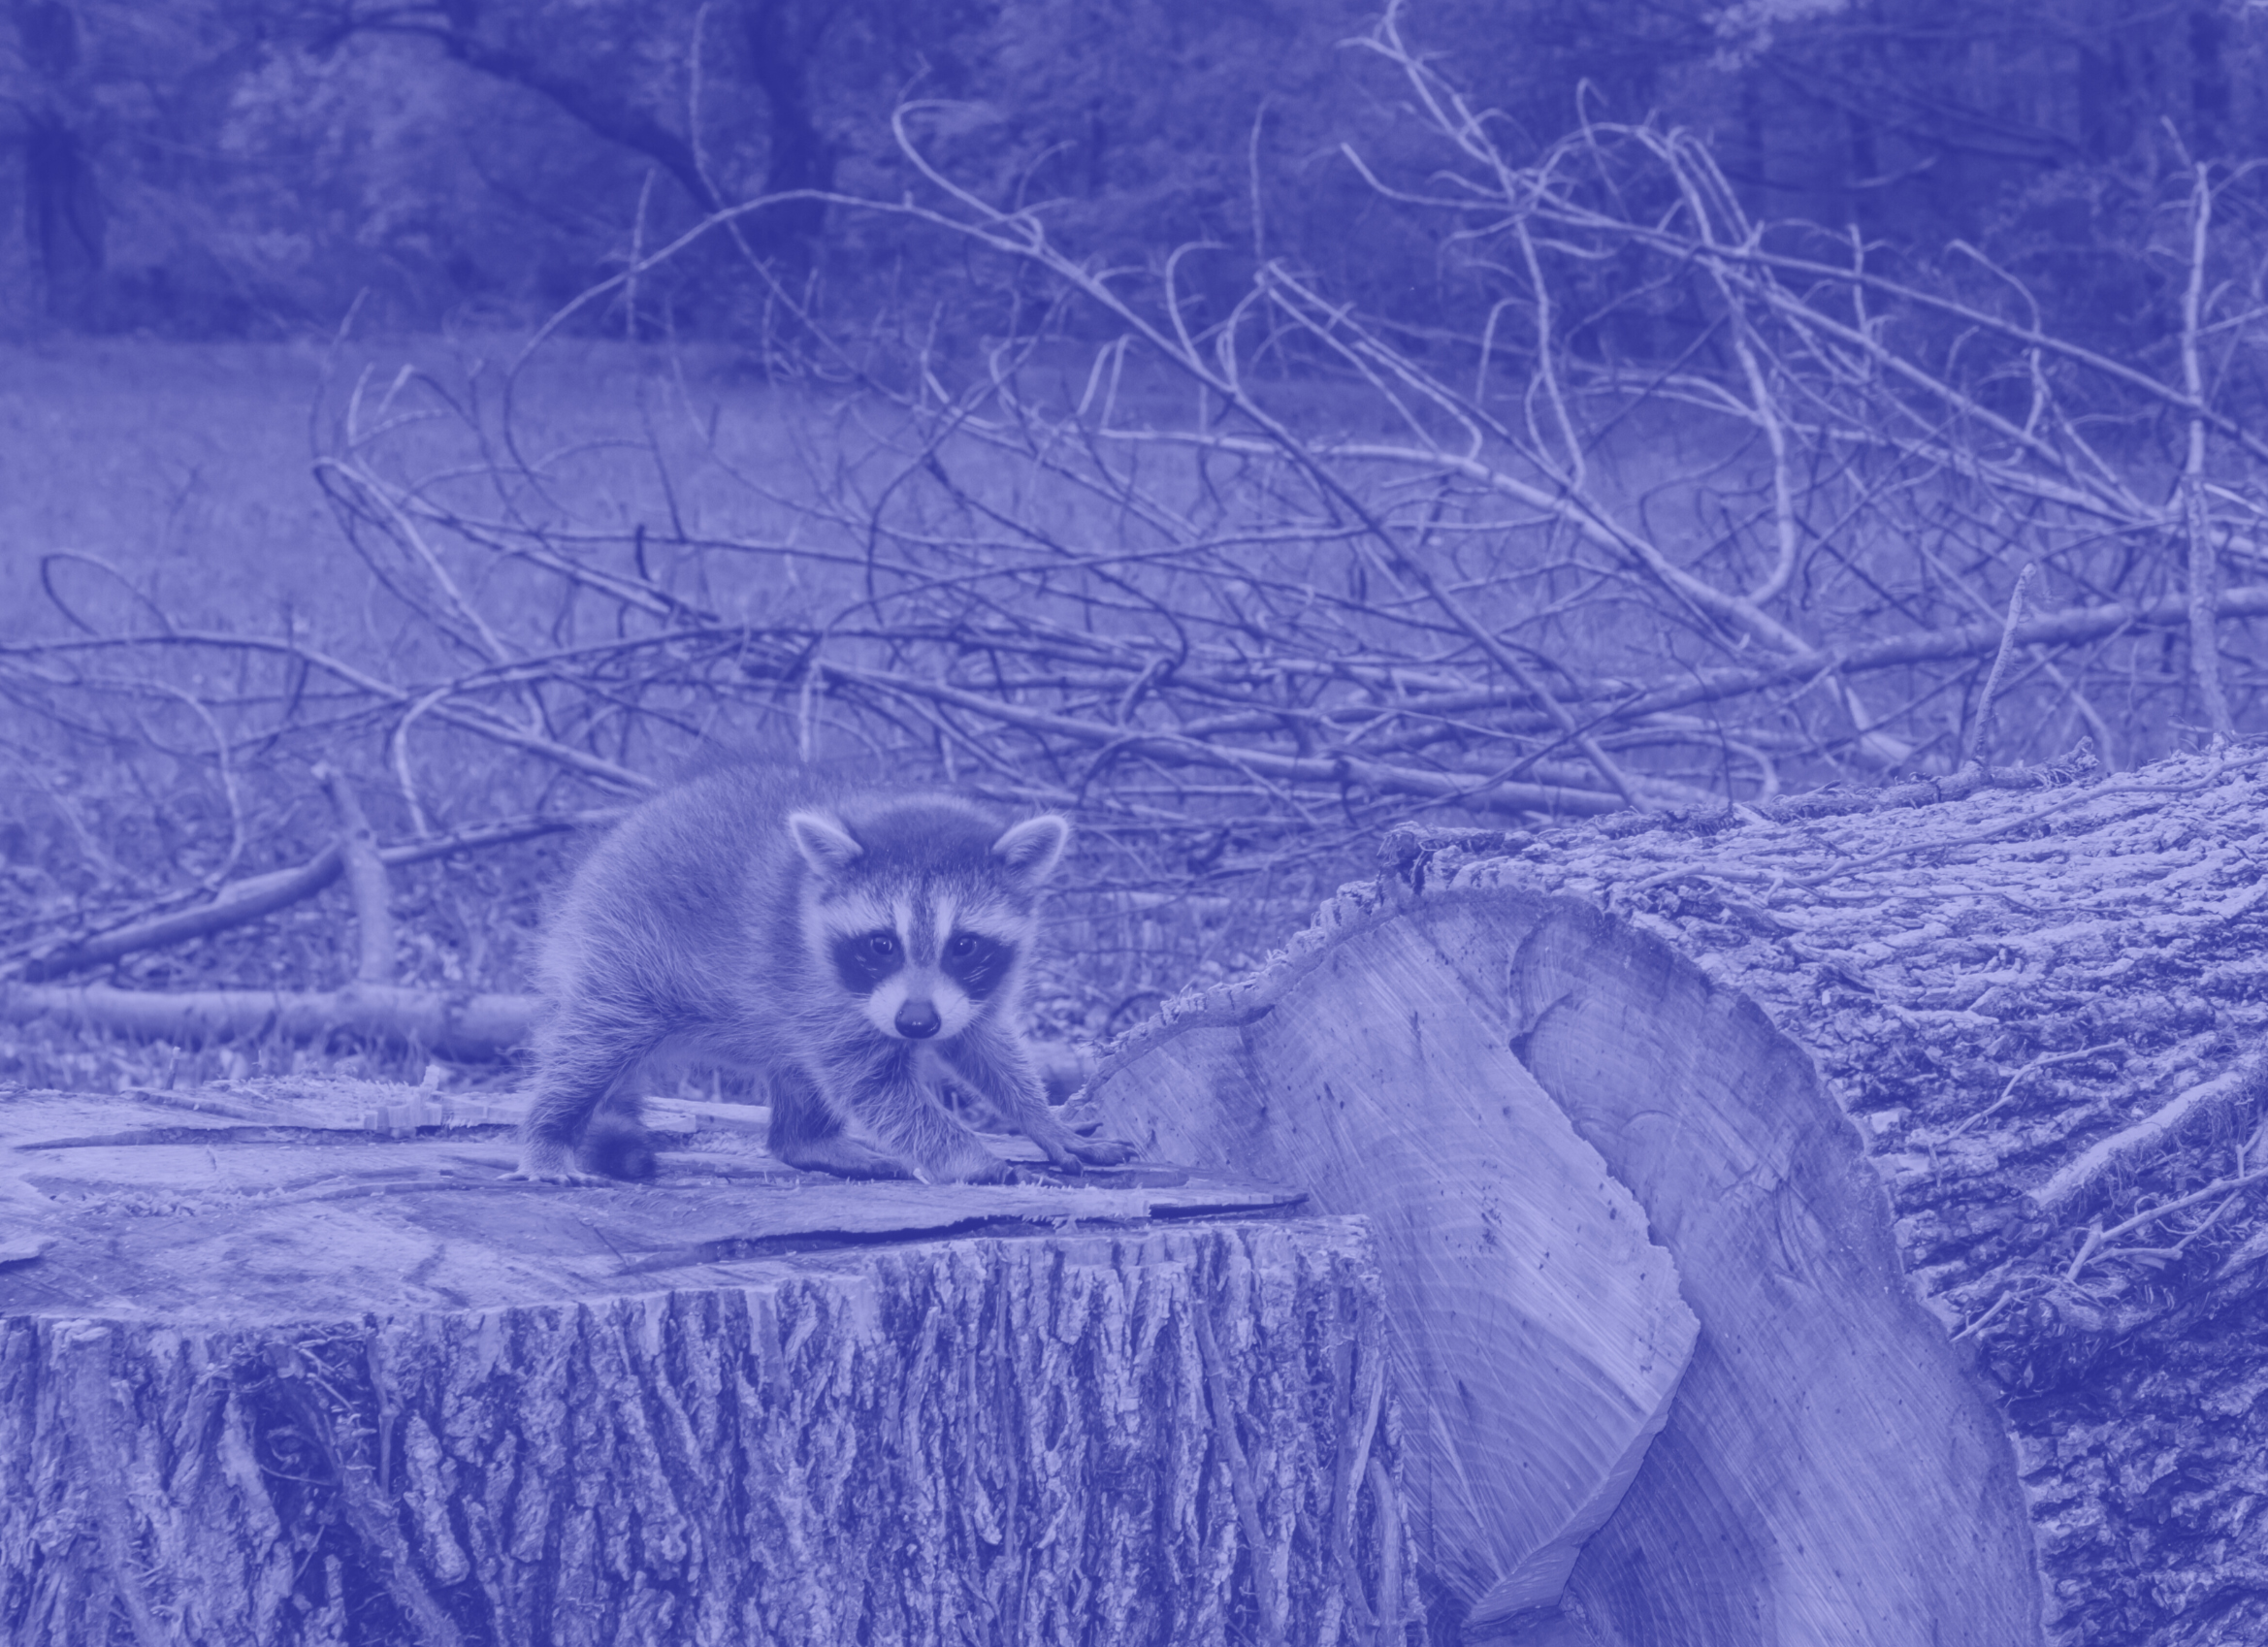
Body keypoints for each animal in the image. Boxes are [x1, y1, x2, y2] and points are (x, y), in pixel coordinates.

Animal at [514, 767, 1134, 1185]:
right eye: (882, 944)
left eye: (963, 945)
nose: (916, 1024)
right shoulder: (816, 986)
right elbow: (877, 1090)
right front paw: (976, 1159)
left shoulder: (972, 991)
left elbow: (986, 1047)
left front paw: (1041, 1119)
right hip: (621, 955)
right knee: (590, 1048)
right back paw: (547, 1134)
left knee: (795, 1072)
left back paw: (809, 1142)